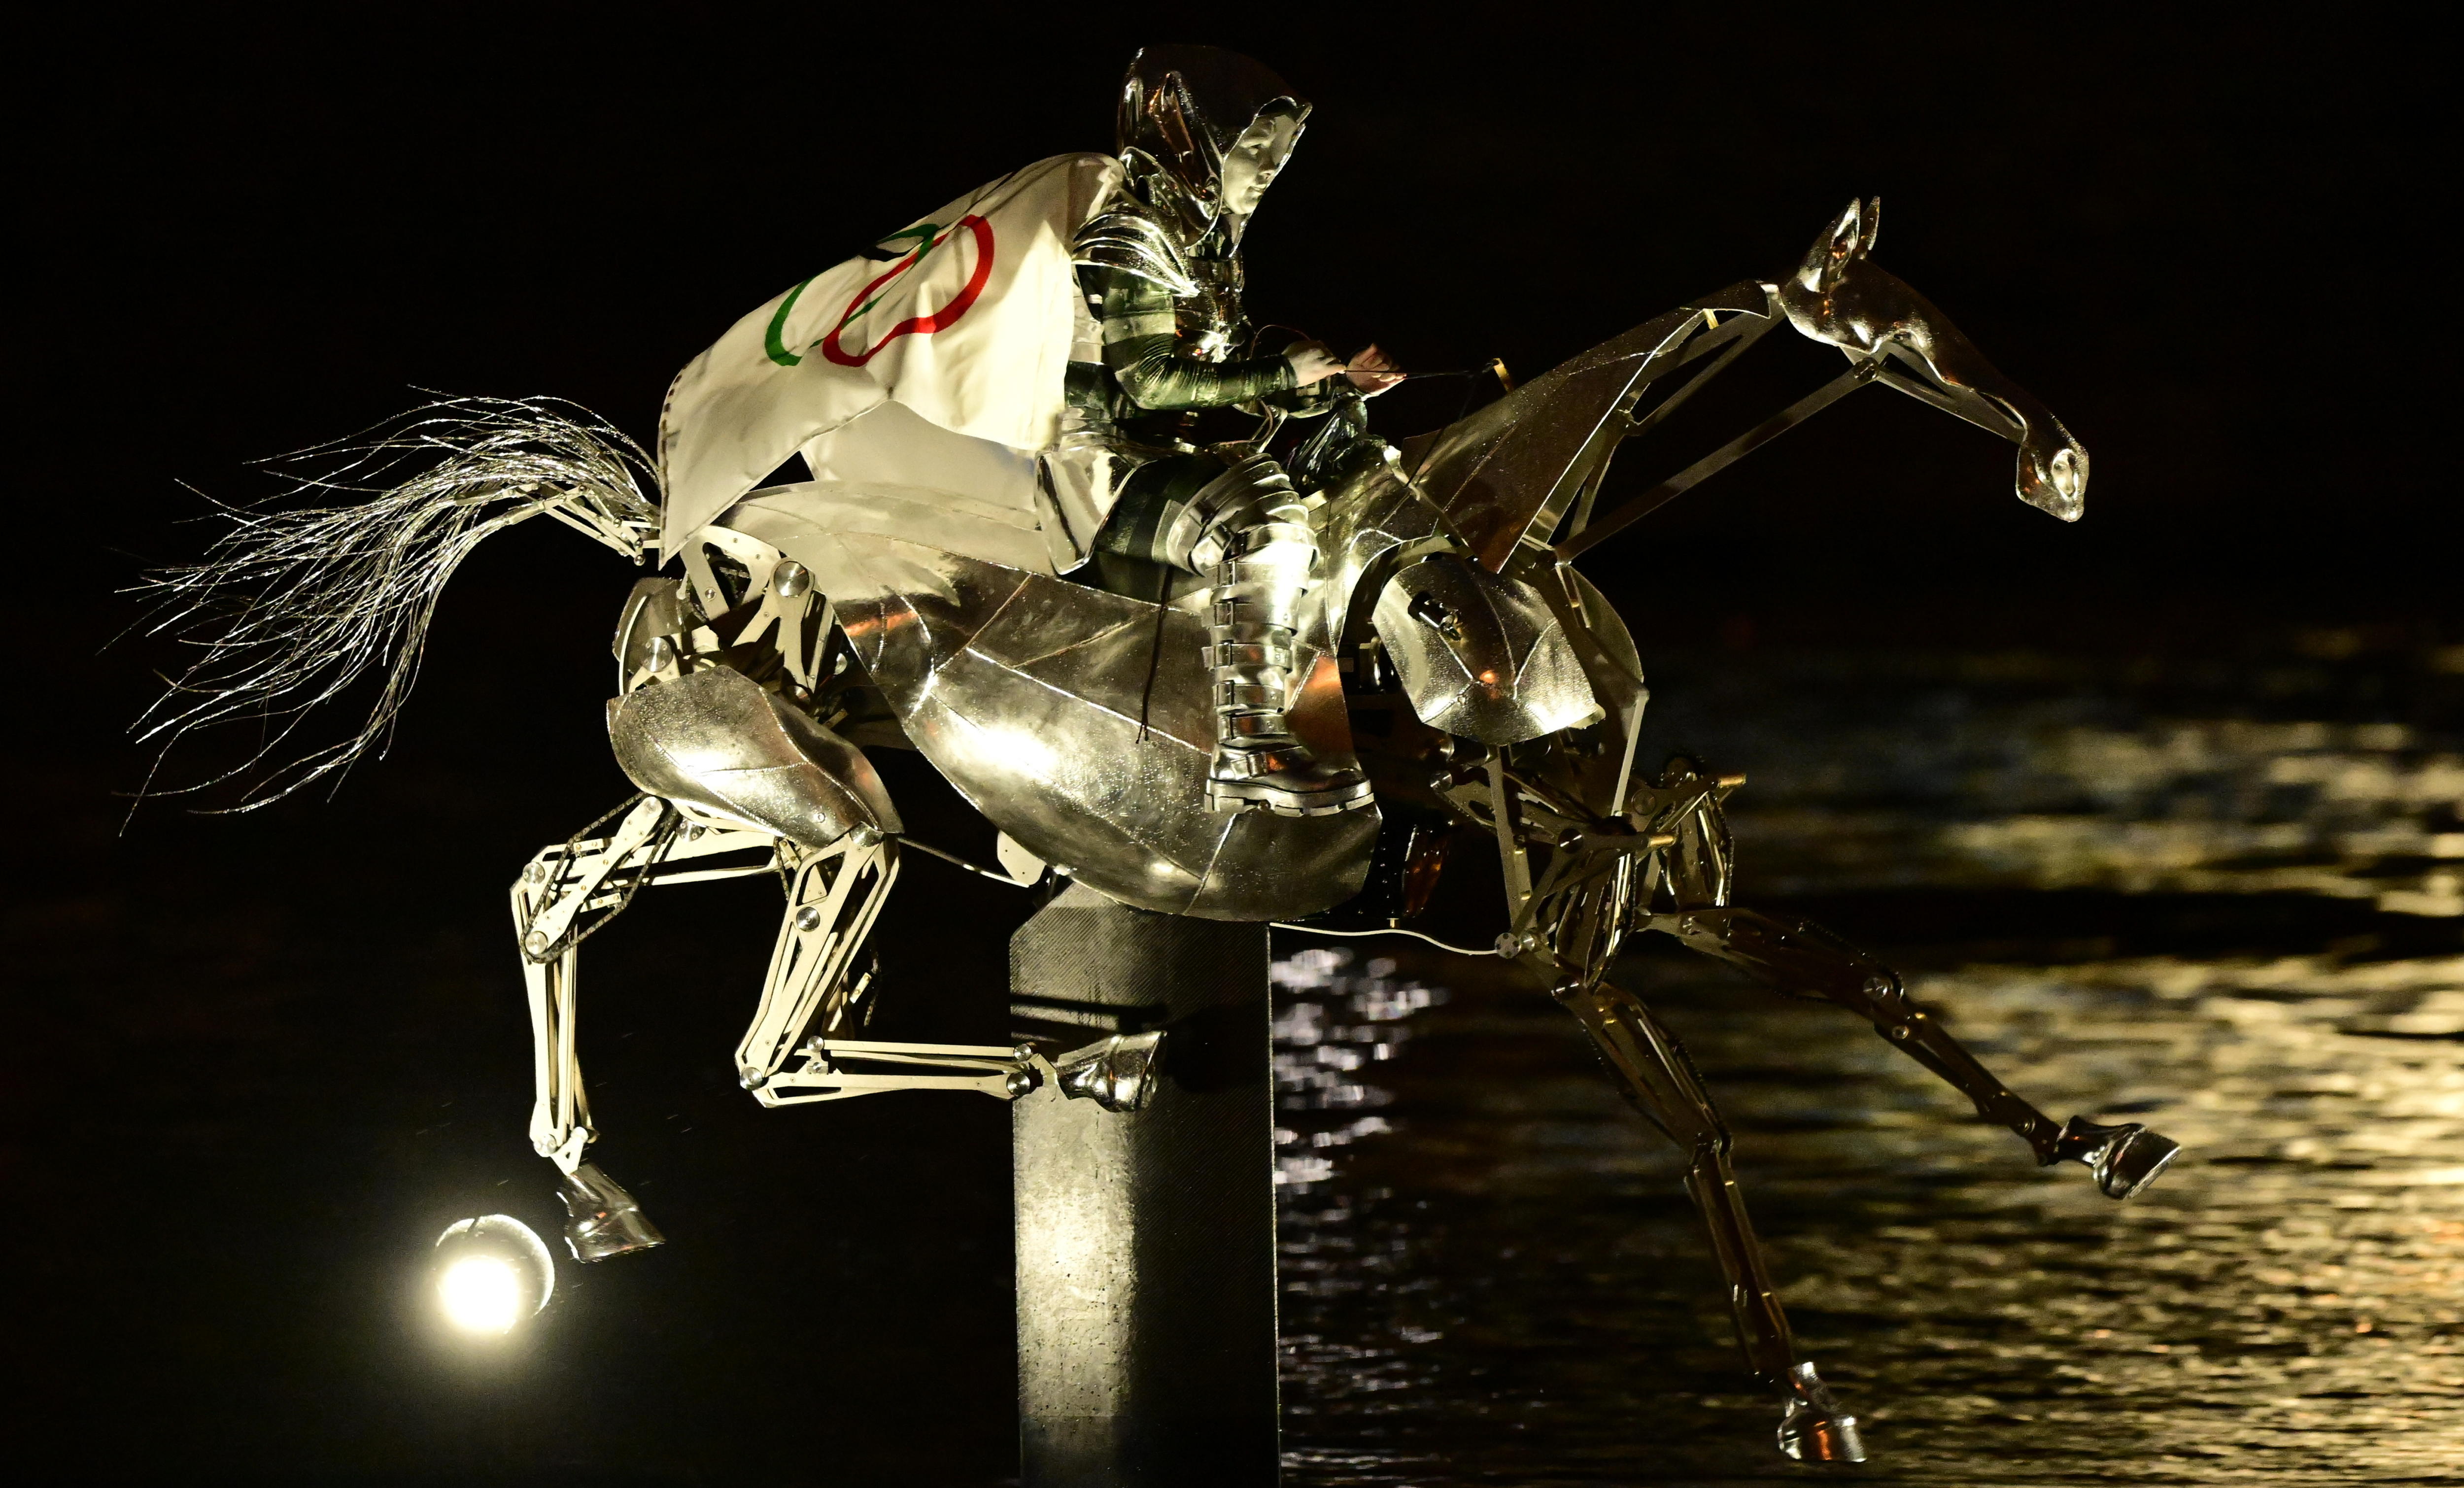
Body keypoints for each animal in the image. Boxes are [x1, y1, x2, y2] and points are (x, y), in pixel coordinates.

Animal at [135, 197, 2178, 1468]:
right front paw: (1805, 1392)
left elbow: (1876, 980)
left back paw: (597, 1182)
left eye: (1956, 313)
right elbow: (1700, 1126)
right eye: (1893, 328)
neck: (1498, 568)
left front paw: (2094, 1140)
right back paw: (1089, 1062)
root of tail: (662, 551)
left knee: (561, 895)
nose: (2068, 463)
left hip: (737, 811)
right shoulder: (1566, 945)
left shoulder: (1645, 892)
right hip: (826, 832)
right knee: (772, 1043)